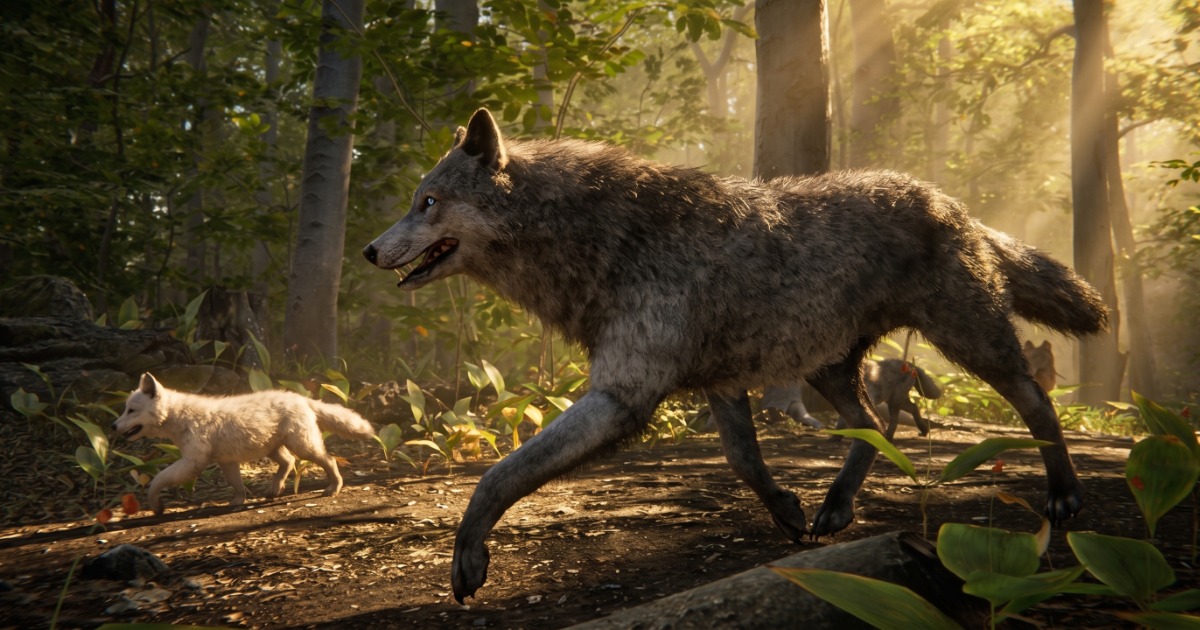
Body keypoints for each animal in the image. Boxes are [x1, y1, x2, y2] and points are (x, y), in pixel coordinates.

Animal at [114, 373, 376, 515]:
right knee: (288, 462)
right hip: (274, 449)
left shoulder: (192, 463)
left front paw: (156, 506)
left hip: (303, 447)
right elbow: (237, 485)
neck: (181, 417)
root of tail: (302, 398)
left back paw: (334, 487)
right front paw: (238, 502)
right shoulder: (226, 461)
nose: (114, 426)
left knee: (328, 459)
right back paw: (274, 489)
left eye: (131, 410)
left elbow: (157, 480)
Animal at [362, 109, 1107, 602]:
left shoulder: (621, 398)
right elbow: (744, 461)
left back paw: (1064, 494)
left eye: (428, 203)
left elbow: (498, 474)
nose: (369, 251)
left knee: (1035, 402)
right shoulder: (719, 385)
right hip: (829, 369)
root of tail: (954, 204)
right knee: (875, 425)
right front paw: (787, 510)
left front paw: (467, 556)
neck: (609, 241)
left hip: (969, 342)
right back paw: (835, 508)